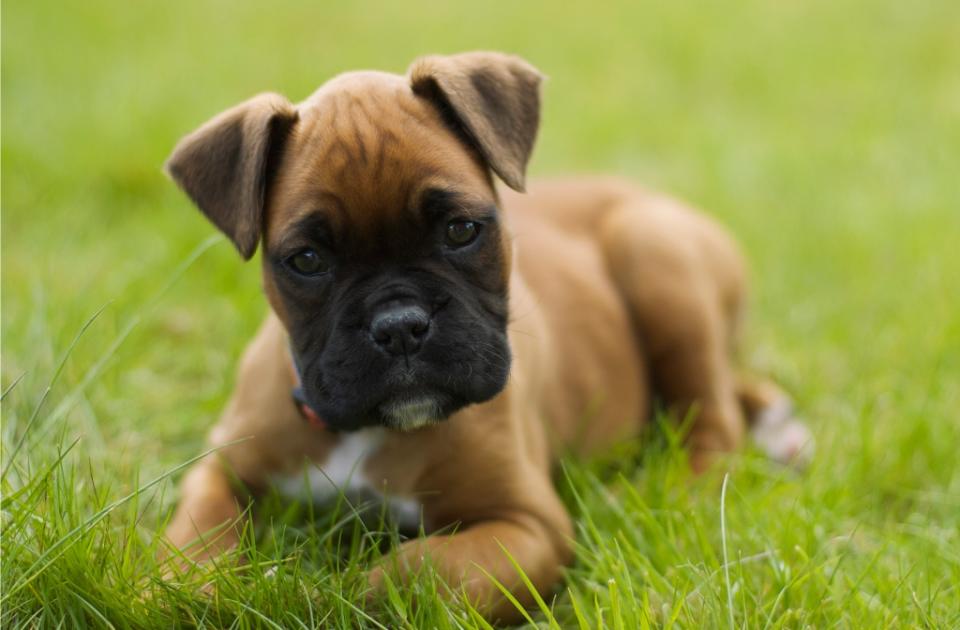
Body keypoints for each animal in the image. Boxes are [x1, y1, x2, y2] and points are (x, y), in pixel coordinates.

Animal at [163, 51, 808, 624]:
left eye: (461, 230)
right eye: (307, 260)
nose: (399, 326)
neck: (371, 432)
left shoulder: (525, 527)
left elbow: (420, 571)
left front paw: (324, 592)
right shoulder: (222, 467)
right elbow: (197, 533)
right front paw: (186, 592)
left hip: (653, 251)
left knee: (714, 422)